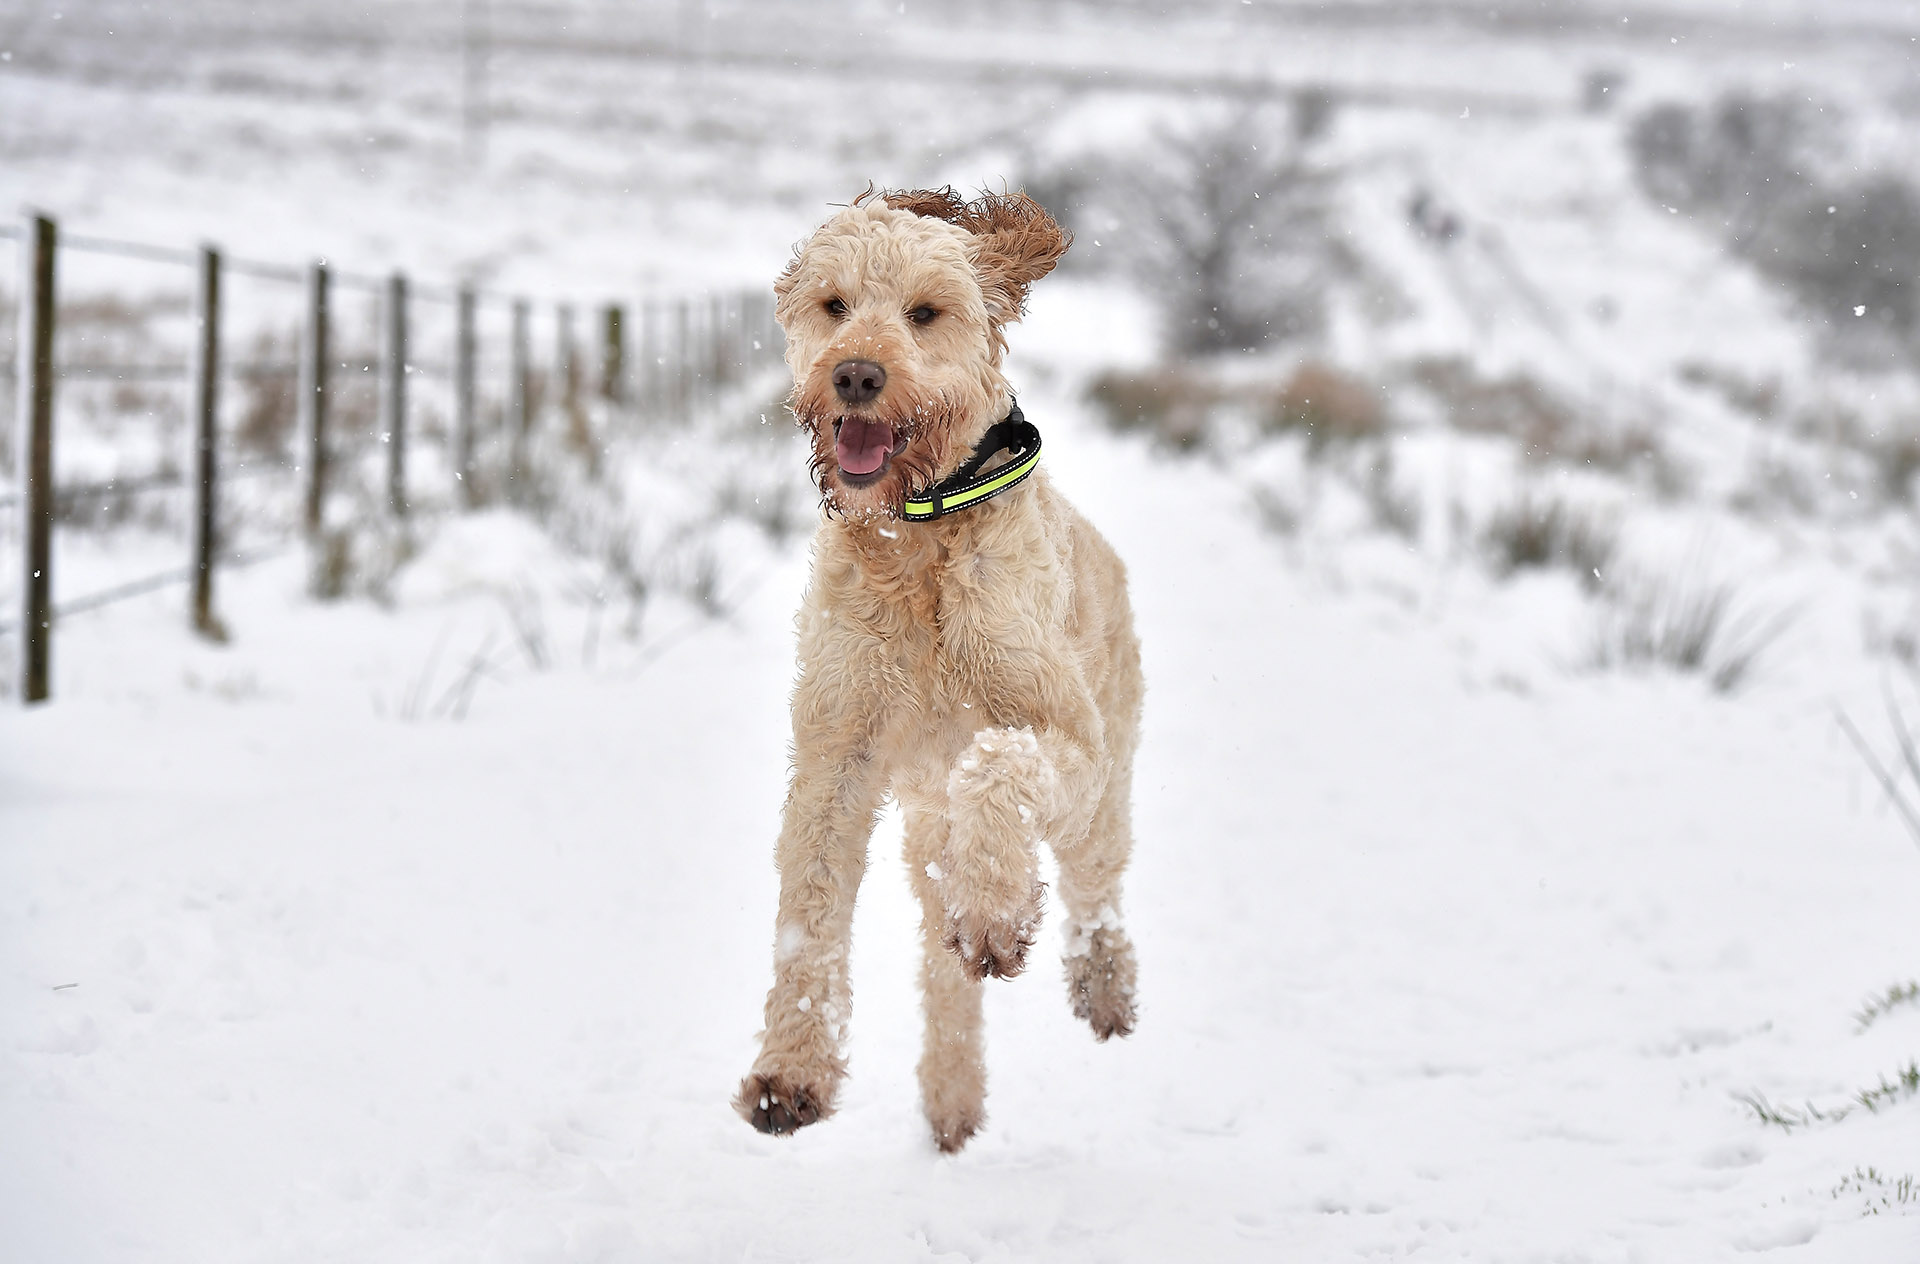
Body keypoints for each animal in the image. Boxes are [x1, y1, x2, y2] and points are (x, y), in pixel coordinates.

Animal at [733, 189, 1136, 1152]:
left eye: (924, 312)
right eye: (835, 305)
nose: (855, 376)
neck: (916, 535)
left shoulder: (1067, 733)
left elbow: (997, 759)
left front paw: (994, 908)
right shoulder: (835, 752)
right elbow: (808, 913)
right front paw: (790, 1071)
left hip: (1104, 789)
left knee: (1095, 886)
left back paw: (1097, 978)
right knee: (944, 968)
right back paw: (953, 1097)